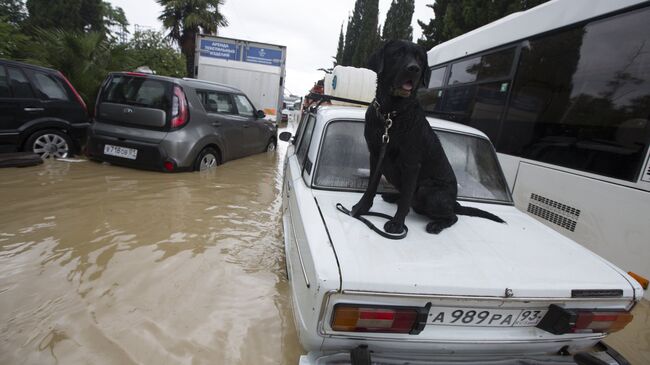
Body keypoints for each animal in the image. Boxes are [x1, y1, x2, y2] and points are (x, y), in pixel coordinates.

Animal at [350, 39, 502, 233]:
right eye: (397, 53)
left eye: (420, 59)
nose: (413, 68)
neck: (391, 114)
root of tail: (454, 203)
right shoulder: (376, 155)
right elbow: (371, 186)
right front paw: (361, 208)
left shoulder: (412, 164)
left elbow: (406, 198)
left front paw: (397, 224)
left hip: (427, 190)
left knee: (452, 216)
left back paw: (436, 224)